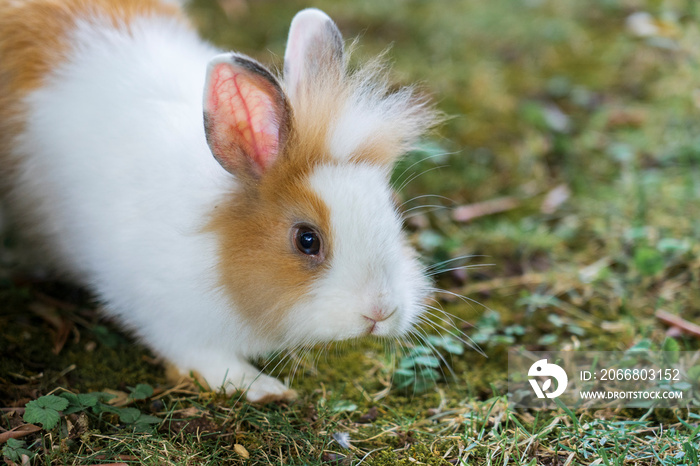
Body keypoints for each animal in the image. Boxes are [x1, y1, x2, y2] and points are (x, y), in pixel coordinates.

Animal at [0, 0, 438, 400]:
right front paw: (264, 388)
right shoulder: (166, 316)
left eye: (394, 213)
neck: (217, 244)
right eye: (307, 240)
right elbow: (207, 359)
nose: (381, 312)